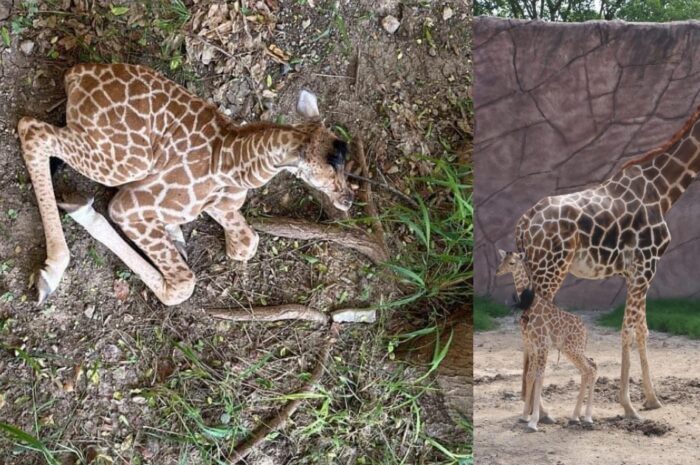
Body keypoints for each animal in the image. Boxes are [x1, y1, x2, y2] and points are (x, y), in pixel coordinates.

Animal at [18, 63, 352, 306]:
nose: (348, 198)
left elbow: (246, 243)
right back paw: (51, 271)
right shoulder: (127, 207)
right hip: (127, 163)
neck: (235, 162)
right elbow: (183, 285)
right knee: (32, 129)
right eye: (329, 169)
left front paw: (176, 233)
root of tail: (75, 74)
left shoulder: (220, 206)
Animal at [494, 250, 600, 432]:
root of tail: (585, 331)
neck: (531, 304)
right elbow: (530, 376)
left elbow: (540, 377)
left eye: (512, 262)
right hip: (571, 349)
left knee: (590, 369)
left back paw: (587, 417)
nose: (498, 271)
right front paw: (524, 416)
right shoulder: (532, 345)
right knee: (589, 367)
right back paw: (575, 417)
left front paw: (533, 422)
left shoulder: (543, 345)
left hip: (572, 349)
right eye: (502, 260)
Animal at [516, 105, 700, 420]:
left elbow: (642, 329)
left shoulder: (637, 271)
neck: (662, 192)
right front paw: (628, 405)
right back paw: (542, 410)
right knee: (532, 325)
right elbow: (628, 330)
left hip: (536, 271)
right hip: (550, 269)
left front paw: (652, 399)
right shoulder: (645, 265)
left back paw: (533, 406)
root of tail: (525, 222)